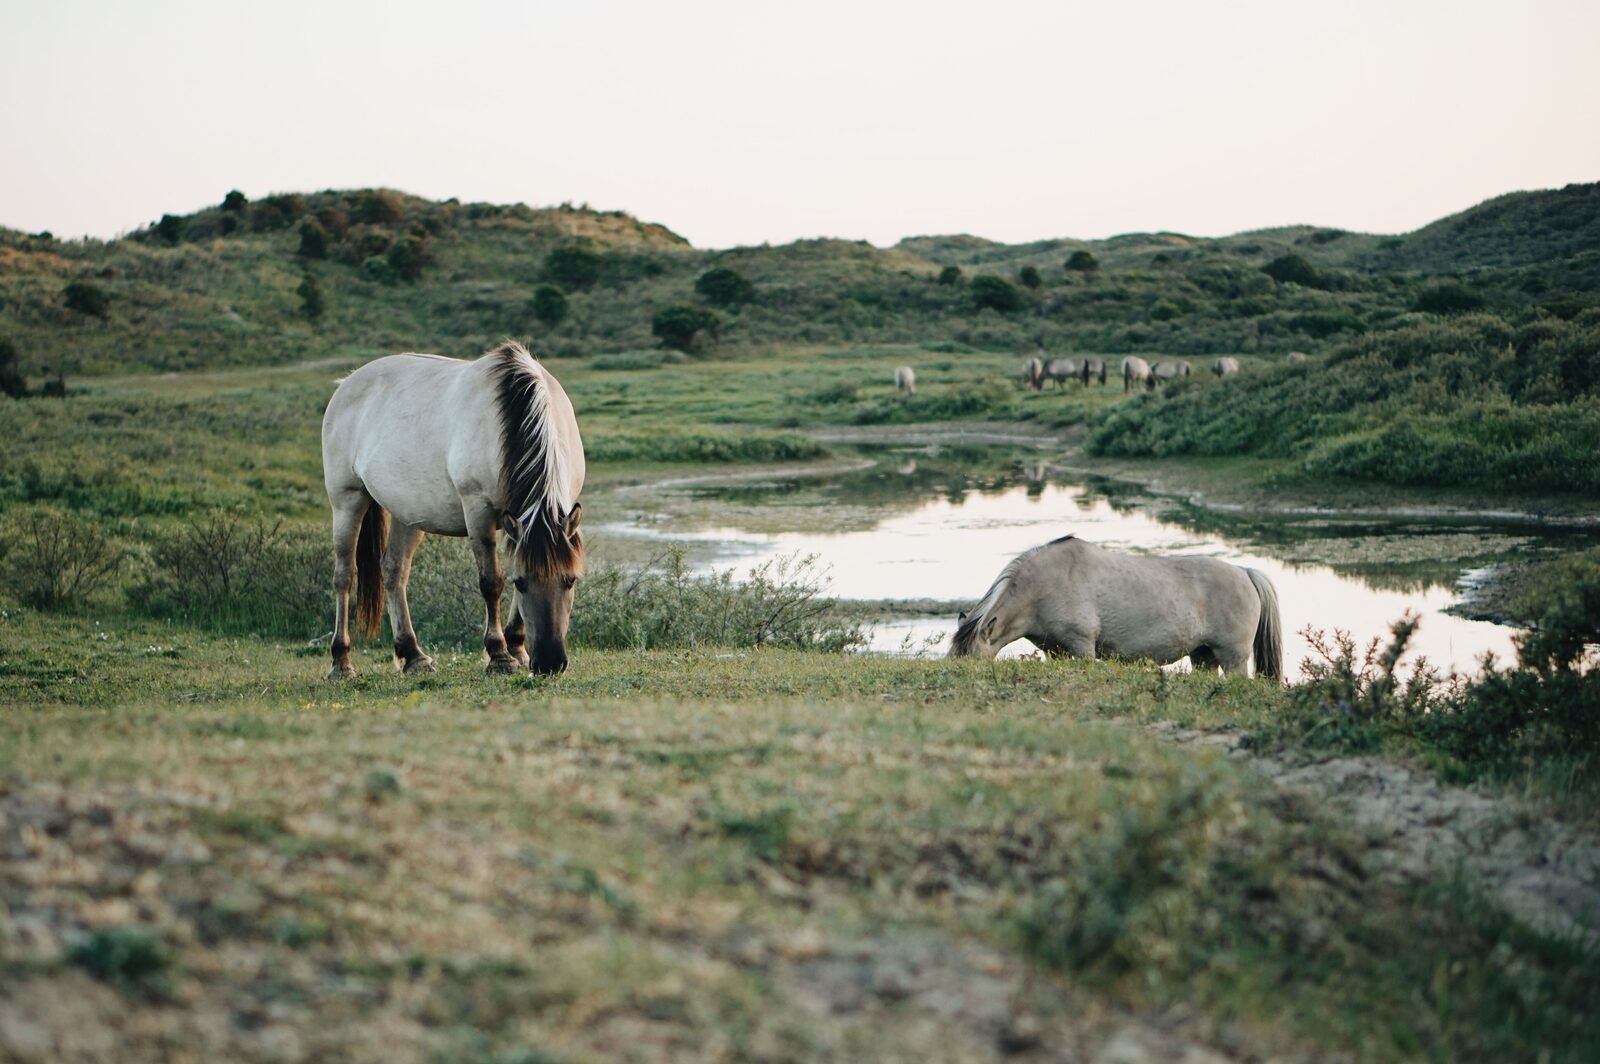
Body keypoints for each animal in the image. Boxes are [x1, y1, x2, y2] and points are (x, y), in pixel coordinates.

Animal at [318, 340, 588, 675]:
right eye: (522, 583)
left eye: (570, 580)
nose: (550, 663)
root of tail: (346, 384)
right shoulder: (478, 511)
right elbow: (491, 581)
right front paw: (499, 654)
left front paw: (516, 646)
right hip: (347, 501)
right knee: (344, 575)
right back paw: (341, 662)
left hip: (408, 514)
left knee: (394, 570)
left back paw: (413, 655)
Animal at [940, 534, 1280, 675]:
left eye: (972, 659)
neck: (1045, 583)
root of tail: (1244, 572)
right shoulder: (1056, 651)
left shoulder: (1082, 646)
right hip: (1203, 656)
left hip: (1233, 658)